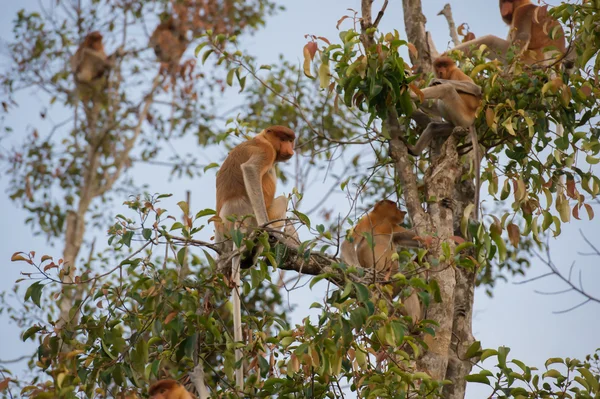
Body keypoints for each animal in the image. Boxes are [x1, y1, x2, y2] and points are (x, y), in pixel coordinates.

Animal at [213, 125, 296, 390]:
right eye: (283, 139)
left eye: (291, 139)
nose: (291, 149)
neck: (260, 137)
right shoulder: (265, 150)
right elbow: (250, 171)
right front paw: (267, 228)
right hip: (247, 221)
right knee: (280, 199)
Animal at [408, 56, 482, 219]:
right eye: (439, 65)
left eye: (444, 65)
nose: (440, 71)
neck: (449, 73)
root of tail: (472, 121)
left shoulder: (456, 74)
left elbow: (475, 89)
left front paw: (436, 80)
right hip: (454, 122)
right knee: (433, 126)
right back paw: (413, 150)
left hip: (461, 116)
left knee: (447, 90)